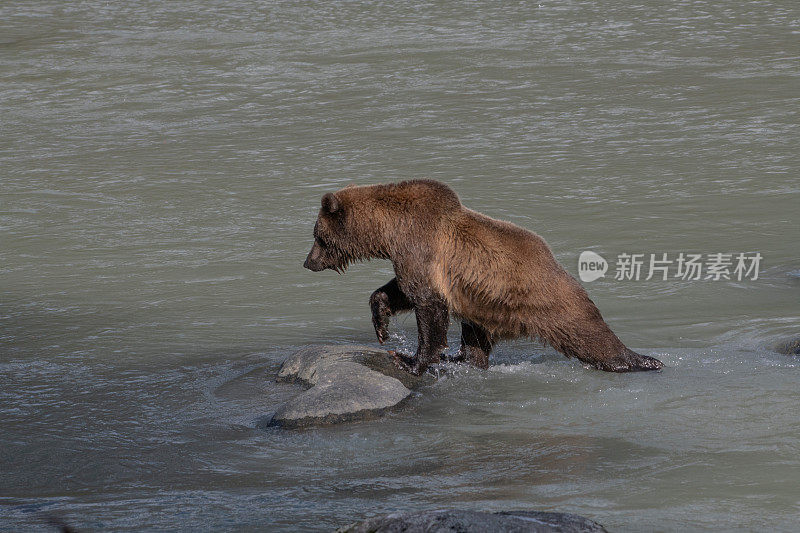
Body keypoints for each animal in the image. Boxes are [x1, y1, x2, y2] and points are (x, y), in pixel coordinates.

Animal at [302, 181, 664, 376]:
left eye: (318, 236)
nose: (307, 262)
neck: (389, 232)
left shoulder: (420, 247)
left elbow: (427, 303)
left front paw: (409, 360)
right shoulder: (411, 257)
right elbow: (399, 291)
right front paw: (381, 328)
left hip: (543, 297)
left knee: (589, 334)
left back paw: (642, 360)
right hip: (484, 304)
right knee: (476, 336)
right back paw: (463, 357)